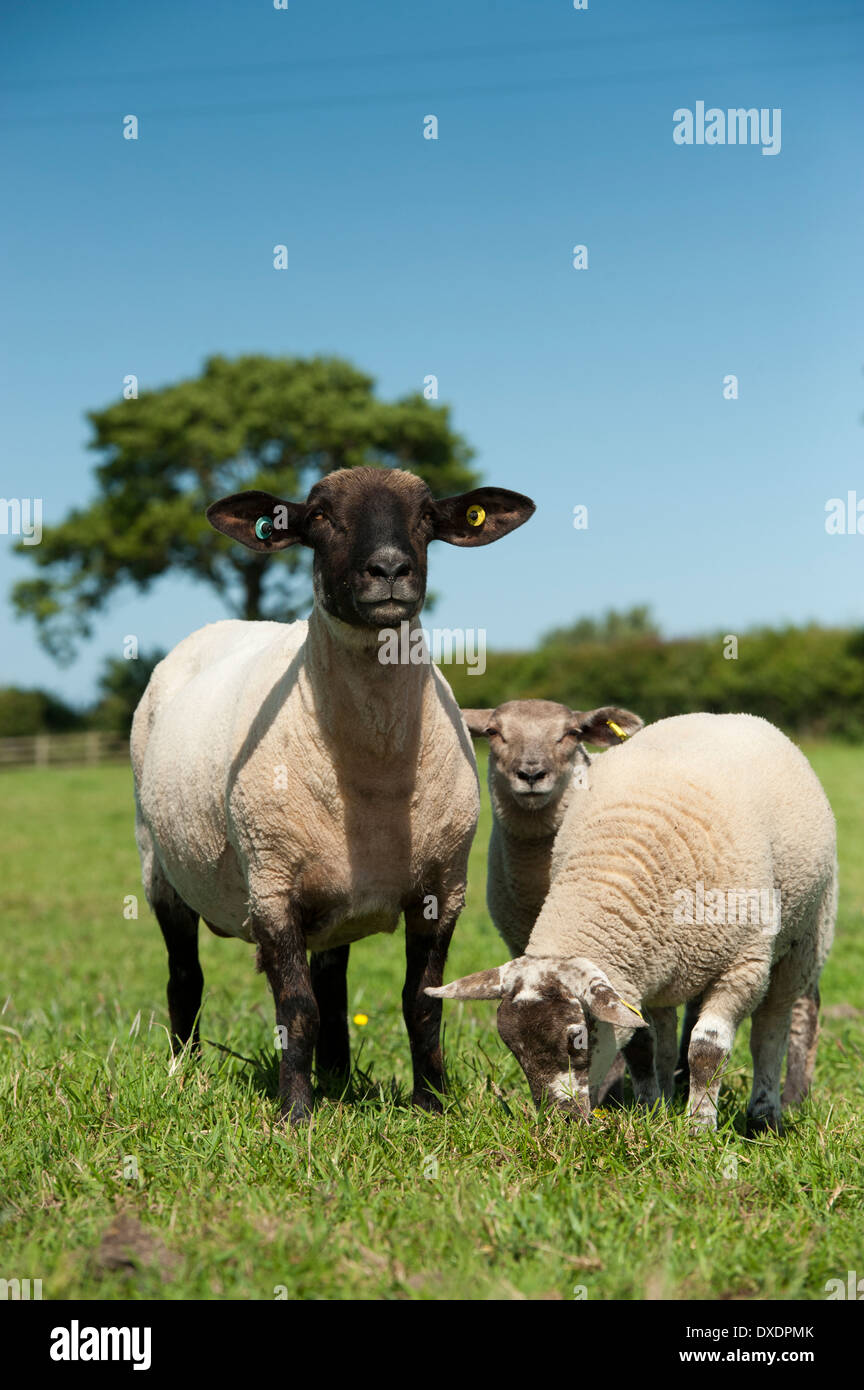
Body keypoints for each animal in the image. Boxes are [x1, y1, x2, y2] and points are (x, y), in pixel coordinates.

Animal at [130, 461, 536, 1123]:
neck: (372, 775)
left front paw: (431, 1104)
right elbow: (296, 1010)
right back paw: (185, 1073)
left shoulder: (444, 888)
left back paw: (339, 1077)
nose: (390, 569)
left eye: (427, 516)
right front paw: (295, 1116)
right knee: (185, 975)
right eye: (319, 516)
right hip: (158, 864)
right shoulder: (271, 887)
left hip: (330, 889)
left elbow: (422, 1001)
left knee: (333, 979)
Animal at [430, 711, 838, 1134]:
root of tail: (729, 715)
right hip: (667, 965)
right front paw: (649, 1109)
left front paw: (699, 1128)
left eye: (577, 1038)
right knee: (668, 1033)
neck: (617, 872)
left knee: (772, 1028)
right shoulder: (638, 972)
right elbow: (643, 1045)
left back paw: (765, 1115)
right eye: (513, 1047)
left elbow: (708, 1049)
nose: (560, 1124)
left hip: (804, 939)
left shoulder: (742, 968)